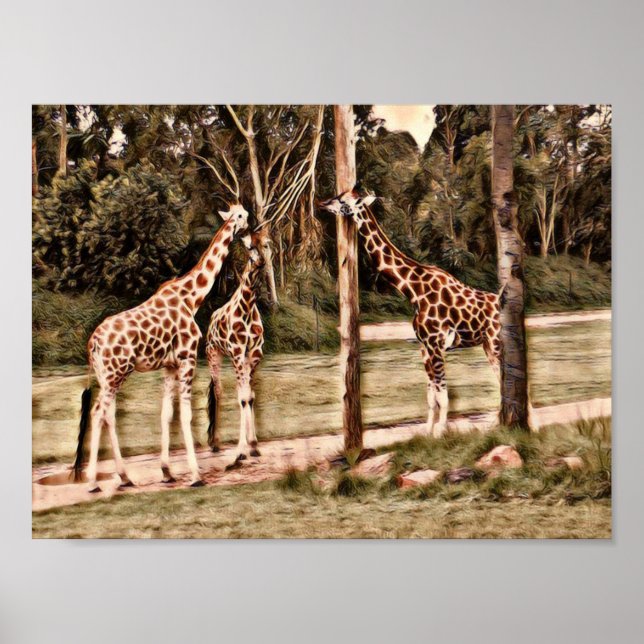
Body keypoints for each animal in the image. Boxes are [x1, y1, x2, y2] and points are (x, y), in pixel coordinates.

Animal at [73, 204, 250, 492]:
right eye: (241, 215)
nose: (250, 226)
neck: (192, 297)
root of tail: (93, 343)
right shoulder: (188, 357)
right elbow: (186, 414)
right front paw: (196, 475)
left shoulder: (169, 365)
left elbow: (166, 414)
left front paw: (167, 471)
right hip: (115, 373)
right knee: (99, 412)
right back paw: (92, 482)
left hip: (108, 376)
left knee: (108, 414)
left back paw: (125, 477)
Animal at [205, 232, 265, 467]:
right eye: (249, 247)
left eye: (267, 244)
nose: (260, 262)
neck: (248, 307)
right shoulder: (238, 353)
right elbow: (242, 397)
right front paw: (241, 451)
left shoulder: (253, 354)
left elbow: (250, 396)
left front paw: (253, 445)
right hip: (213, 354)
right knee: (218, 390)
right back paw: (215, 443)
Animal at [319, 188, 502, 437]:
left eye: (342, 200)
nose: (322, 203)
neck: (412, 289)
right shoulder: (424, 346)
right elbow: (431, 397)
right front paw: (427, 433)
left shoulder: (435, 344)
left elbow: (443, 396)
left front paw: (440, 433)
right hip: (487, 344)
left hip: (495, 342)